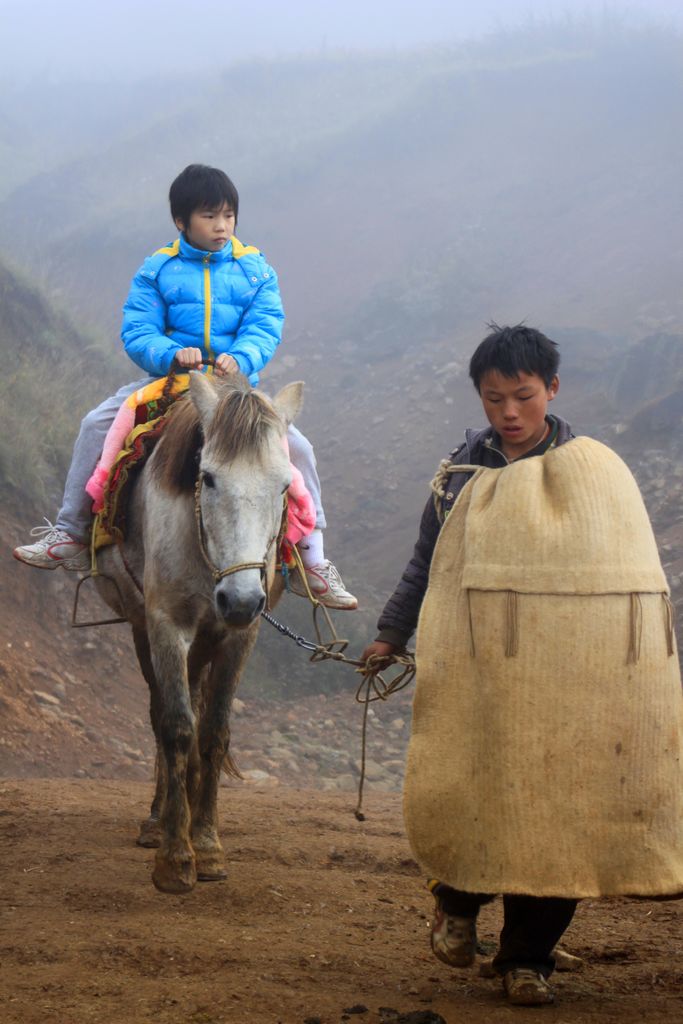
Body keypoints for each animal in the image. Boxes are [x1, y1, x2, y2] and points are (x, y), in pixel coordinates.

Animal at [94, 372, 301, 892]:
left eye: (285, 485)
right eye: (206, 477)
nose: (242, 600)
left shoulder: (239, 638)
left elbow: (214, 733)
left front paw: (206, 845)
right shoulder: (166, 625)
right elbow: (176, 727)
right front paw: (174, 857)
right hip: (144, 631)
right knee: (162, 715)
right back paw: (158, 820)